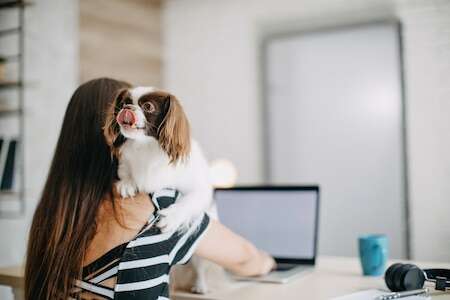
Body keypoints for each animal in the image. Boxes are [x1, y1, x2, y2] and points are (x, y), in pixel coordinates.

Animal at [103, 85, 214, 233]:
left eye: (148, 106)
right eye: (123, 103)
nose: (127, 107)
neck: (144, 144)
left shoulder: (201, 188)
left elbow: (190, 201)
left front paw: (172, 217)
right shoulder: (125, 161)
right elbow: (125, 170)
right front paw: (127, 183)